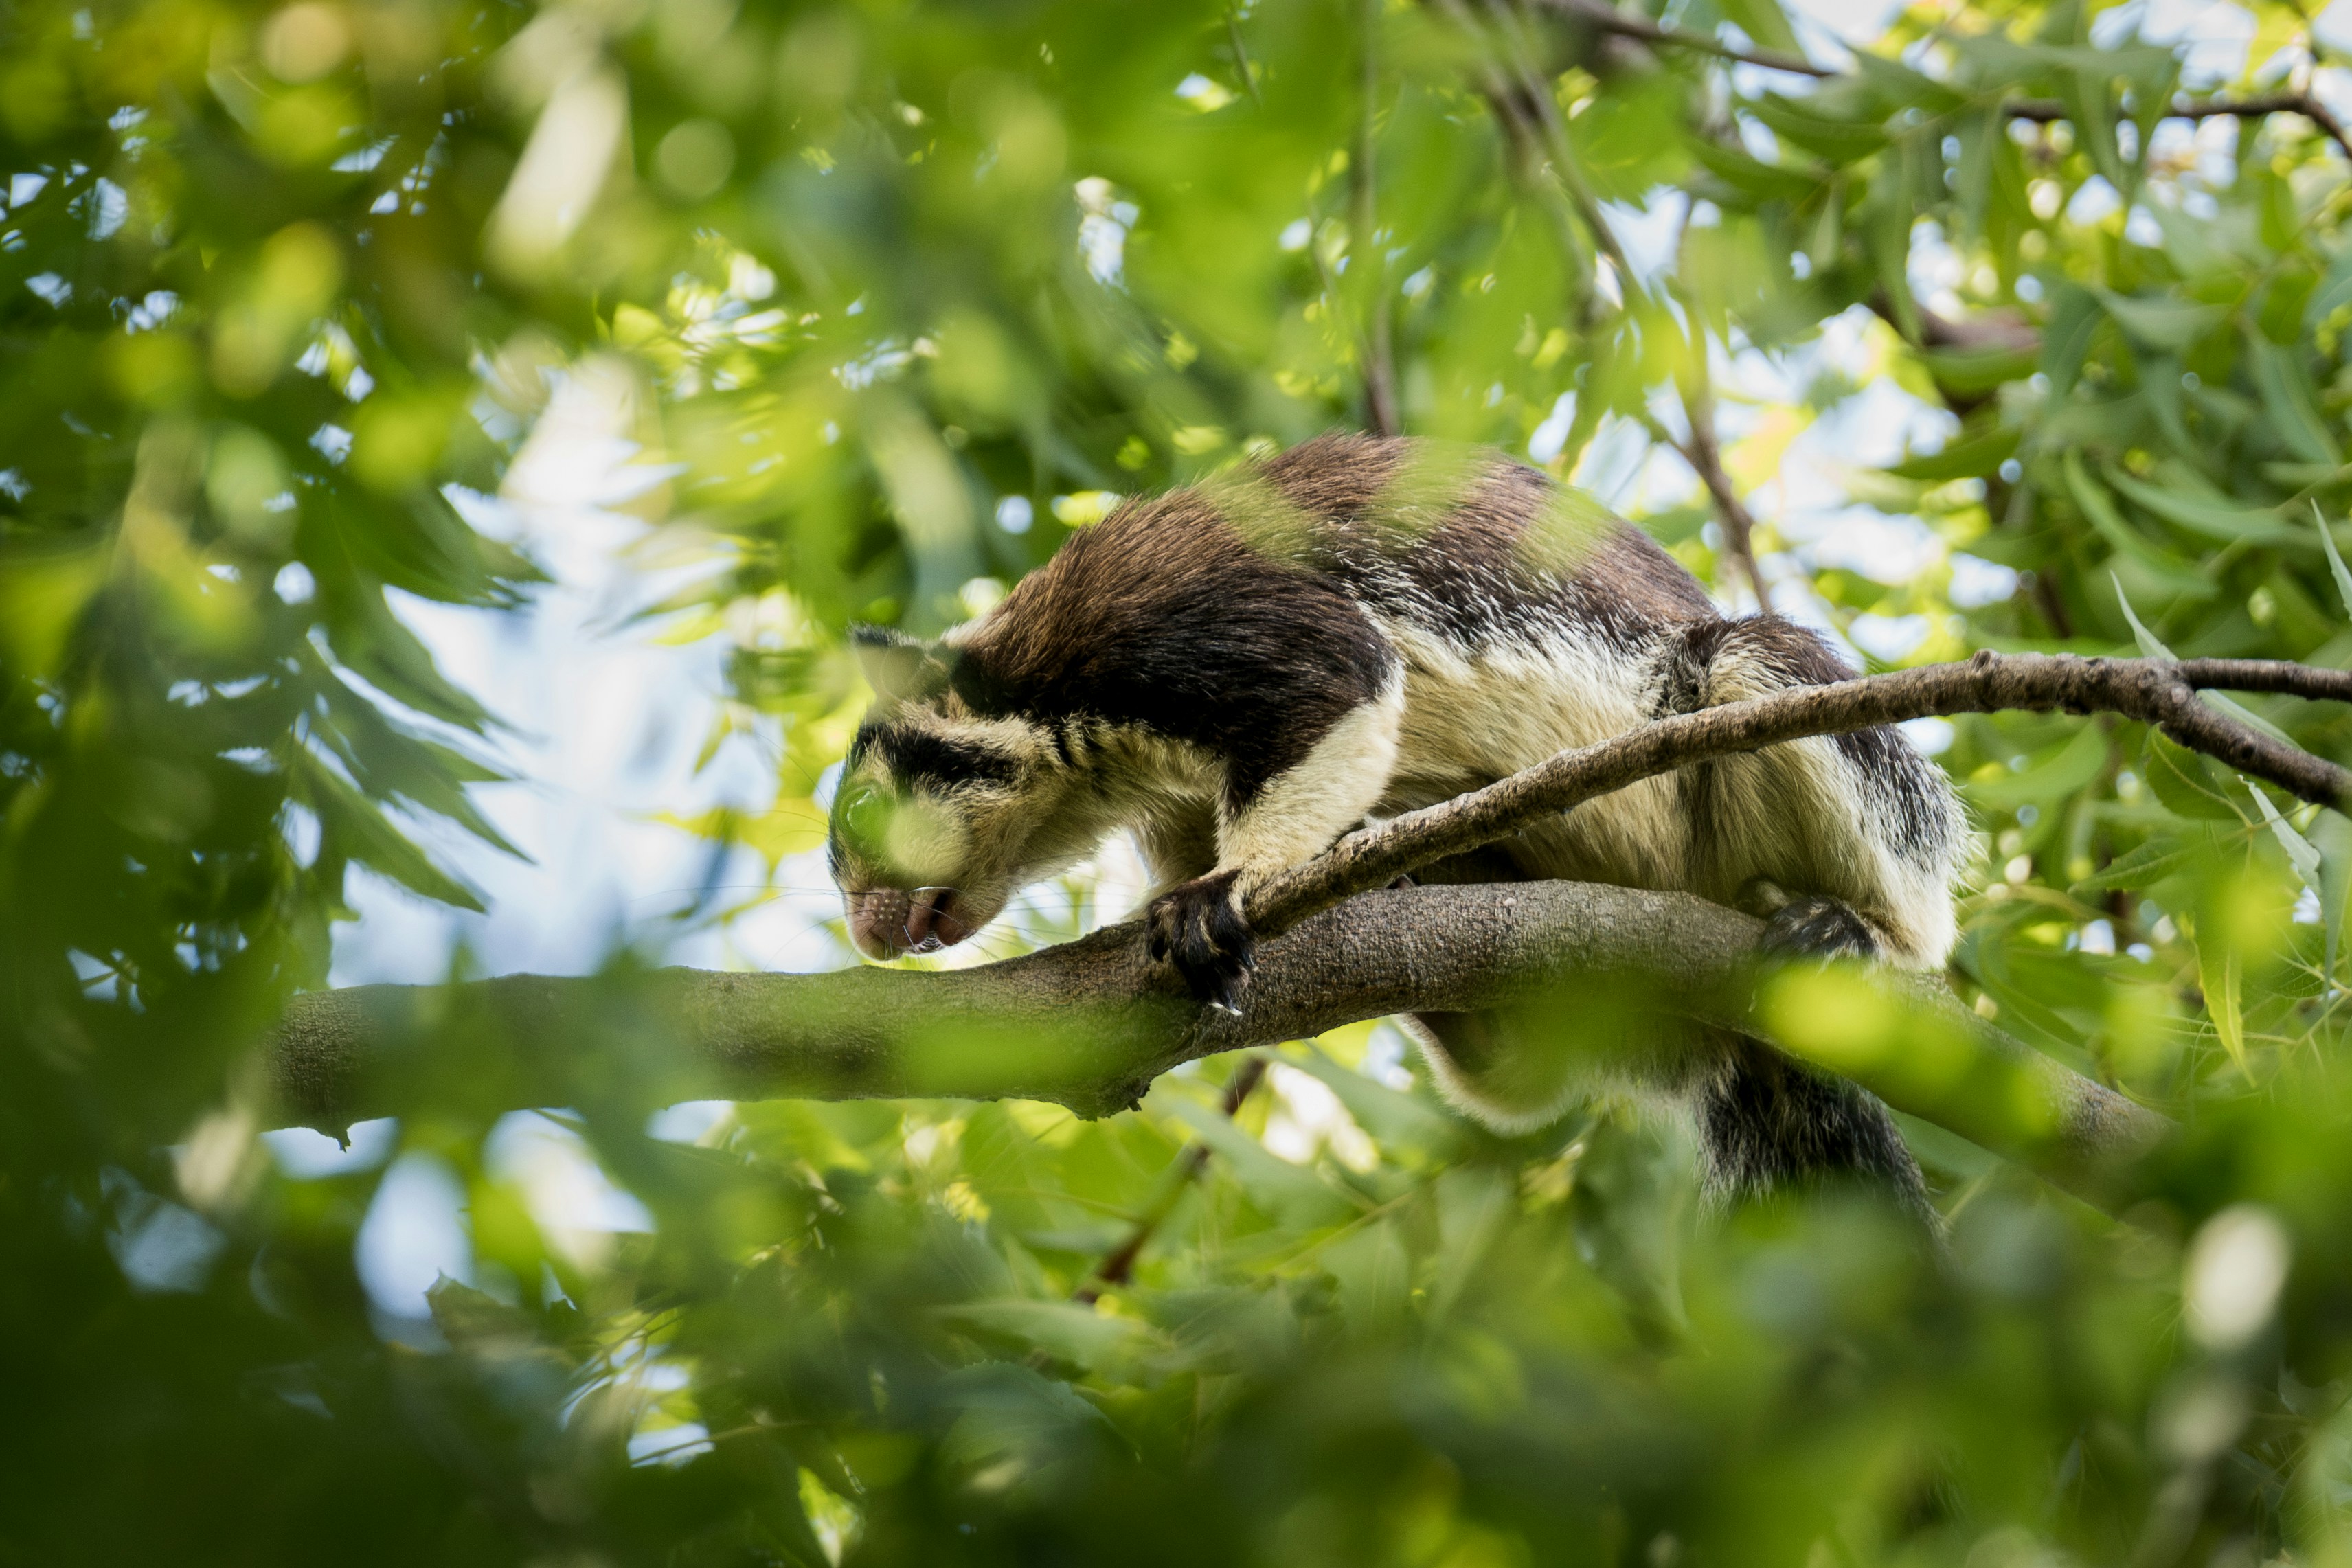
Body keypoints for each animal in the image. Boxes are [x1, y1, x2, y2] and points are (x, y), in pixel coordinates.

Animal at [823, 434, 1967, 1217]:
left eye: (863, 812)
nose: (868, 933)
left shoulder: (1202, 629)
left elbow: (1341, 688)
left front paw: (1223, 897)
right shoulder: (1180, 803)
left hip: (1750, 676)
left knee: (1910, 896)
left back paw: (1854, 932)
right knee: (1516, 1080)